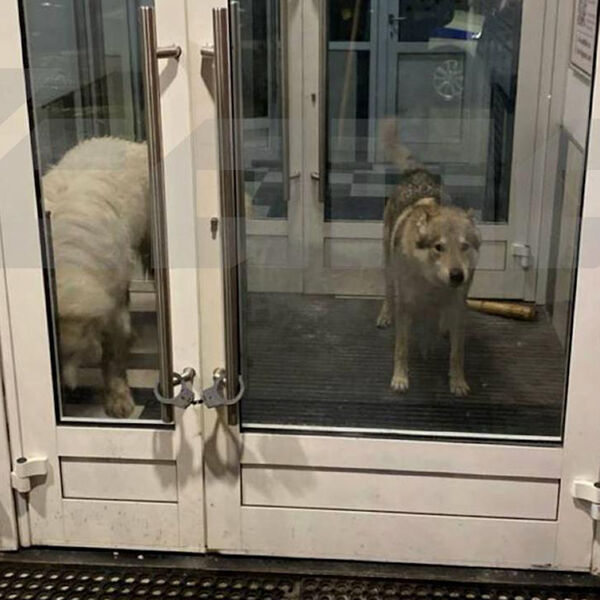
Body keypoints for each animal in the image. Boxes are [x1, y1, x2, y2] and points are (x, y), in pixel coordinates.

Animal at [377, 123, 480, 396]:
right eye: (439, 247)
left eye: (464, 246)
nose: (457, 275)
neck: (432, 284)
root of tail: (419, 172)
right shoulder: (406, 306)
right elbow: (401, 348)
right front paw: (400, 379)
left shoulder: (459, 306)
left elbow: (457, 354)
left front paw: (458, 383)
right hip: (388, 267)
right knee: (389, 293)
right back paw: (385, 316)